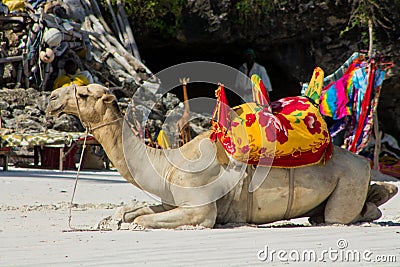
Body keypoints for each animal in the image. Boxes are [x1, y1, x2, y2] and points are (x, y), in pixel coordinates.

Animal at [46, 85, 396, 229]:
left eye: (83, 94)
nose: (51, 98)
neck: (167, 163)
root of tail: (365, 161)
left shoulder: (200, 210)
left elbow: (143, 220)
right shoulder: (173, 197)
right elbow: (133, 212)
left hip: (348, 180)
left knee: (342, 216)